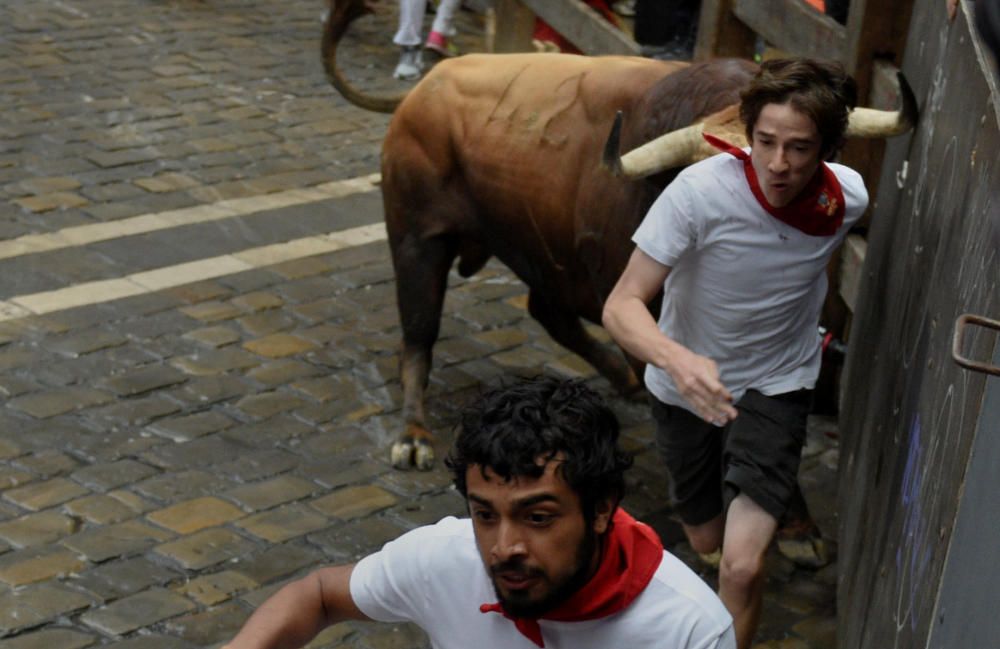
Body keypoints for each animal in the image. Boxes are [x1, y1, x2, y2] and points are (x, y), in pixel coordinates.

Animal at [322, 0, 916, 468]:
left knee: (548, 312)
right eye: (709, 179)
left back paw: (621, 383)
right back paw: (413, 434)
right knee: (419, 333)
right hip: (417, 239)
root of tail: (424, 90)